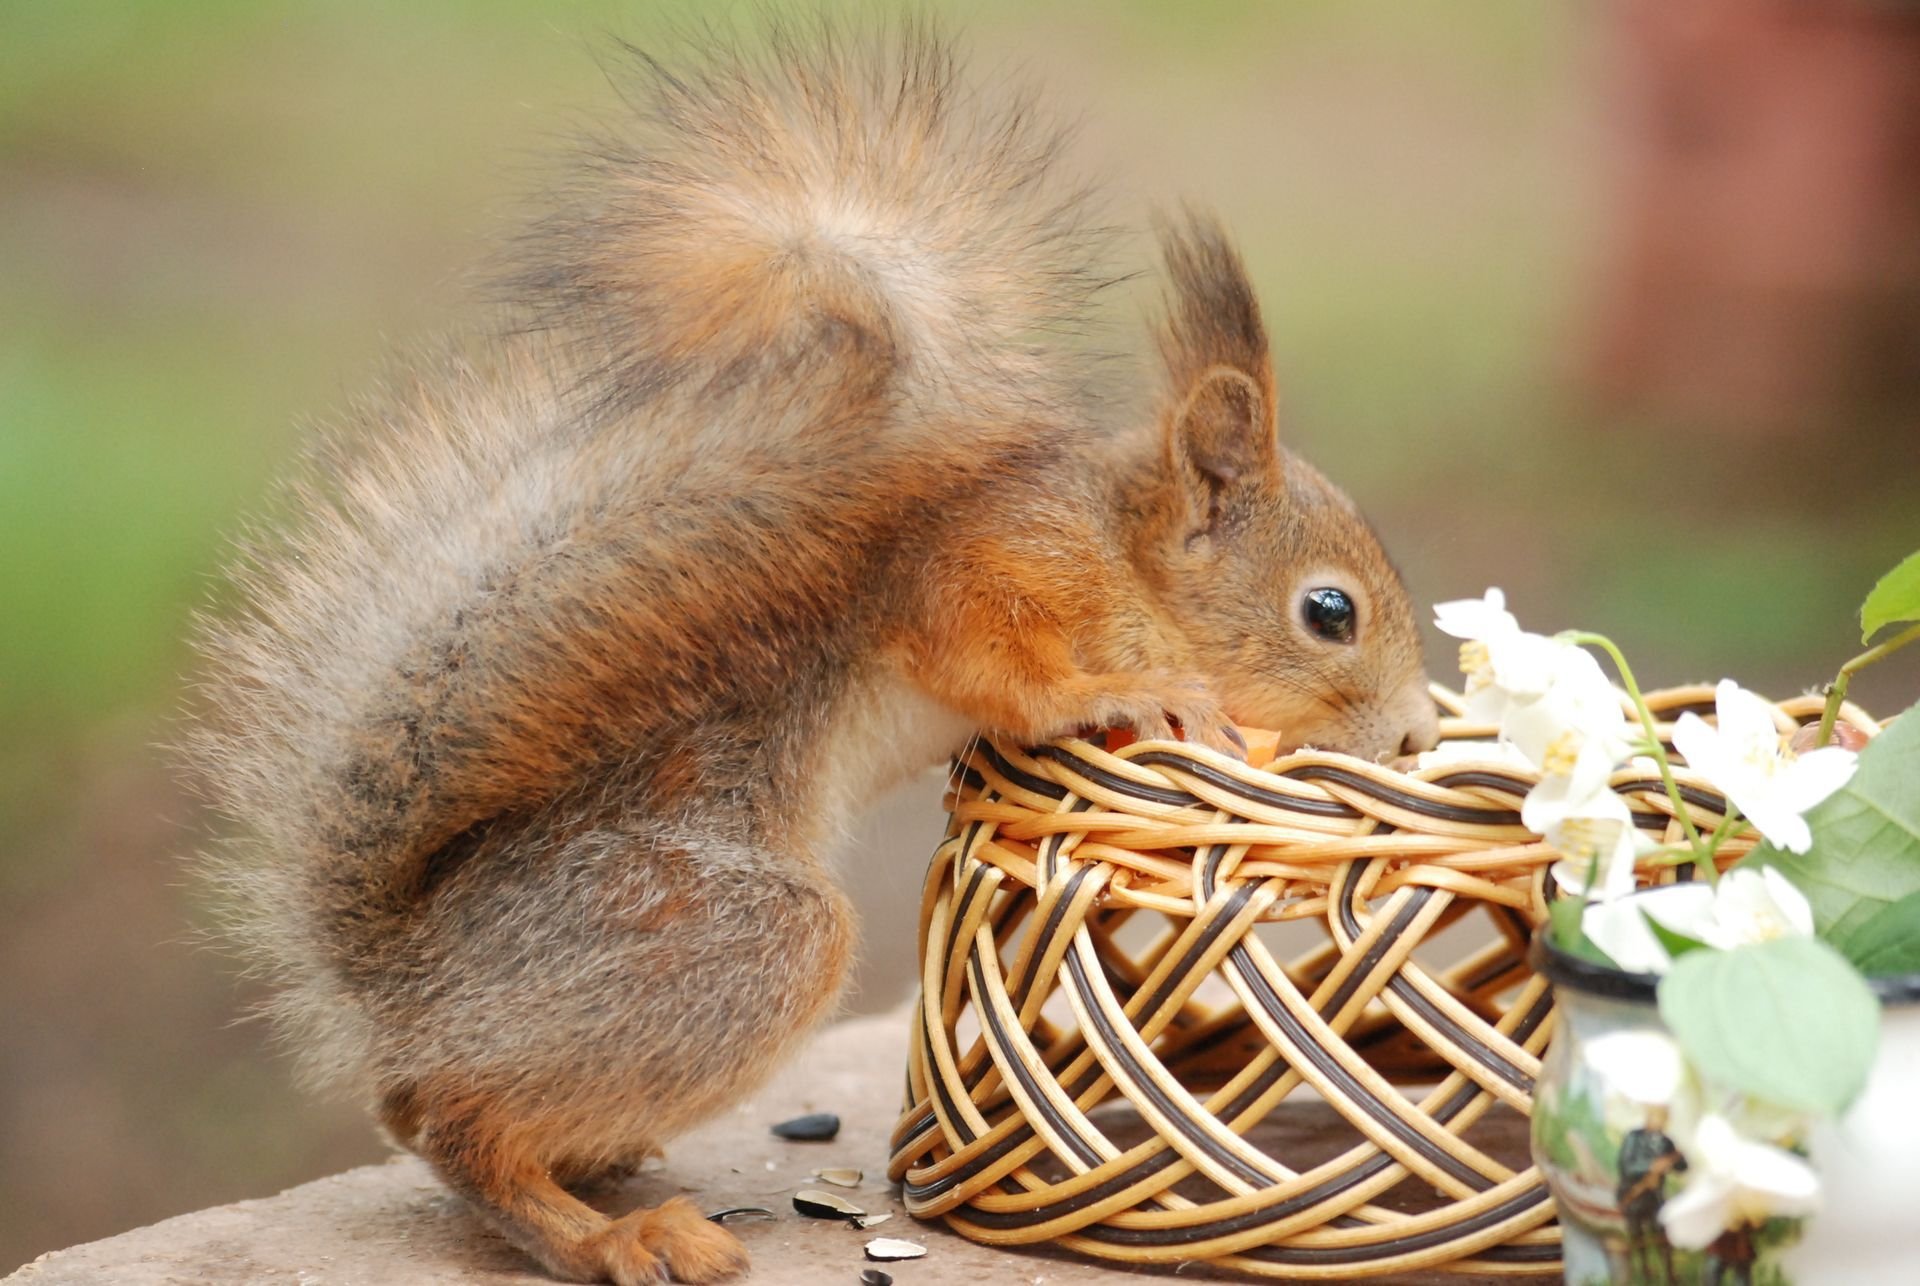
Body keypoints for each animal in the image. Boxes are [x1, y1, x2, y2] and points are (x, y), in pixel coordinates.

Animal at [183, 22, 1439, 1286]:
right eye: (1330, 611)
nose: (1416, 730)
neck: (1122, 555)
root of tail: (400, 983)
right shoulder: (985, 566)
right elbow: (996, 661)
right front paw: (1132, 692)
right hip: (721, 935)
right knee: (452, 1121)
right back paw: (616, 1234)